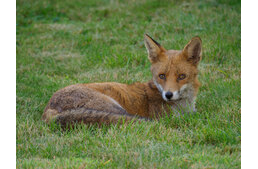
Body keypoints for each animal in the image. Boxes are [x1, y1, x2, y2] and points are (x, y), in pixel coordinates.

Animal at [42, 34, 203, 126]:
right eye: (162, 76)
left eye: (181, 76)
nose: (168, 95)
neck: (184, 106)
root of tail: (49, 108)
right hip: (117, 109)